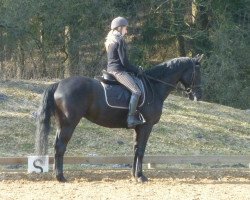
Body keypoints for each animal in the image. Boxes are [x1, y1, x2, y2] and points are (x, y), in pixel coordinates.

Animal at [34, 54, 203, 183]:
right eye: (198, 72)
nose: (198, 96)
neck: (154, 87)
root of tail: (59, 84)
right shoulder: (146, 126)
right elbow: (141, 150)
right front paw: (141, 176)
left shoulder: (138, 127)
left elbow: (136, 149)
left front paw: (134, 175)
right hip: (69, 123)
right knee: (60, 147)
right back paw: (61, 177)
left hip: (61, 123)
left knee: (57, 146)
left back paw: (58, 175)